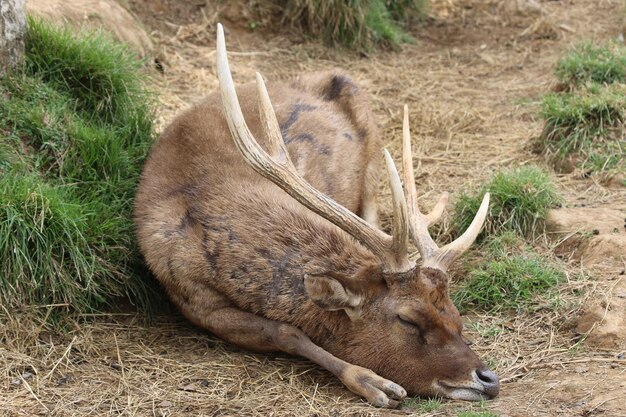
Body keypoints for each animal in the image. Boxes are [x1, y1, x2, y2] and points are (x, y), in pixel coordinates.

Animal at [134, 24, 500, 408]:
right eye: (408, 320)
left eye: (455, 312)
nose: (487, 378)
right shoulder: (193, 302)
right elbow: (286, 332)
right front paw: (375, 383)